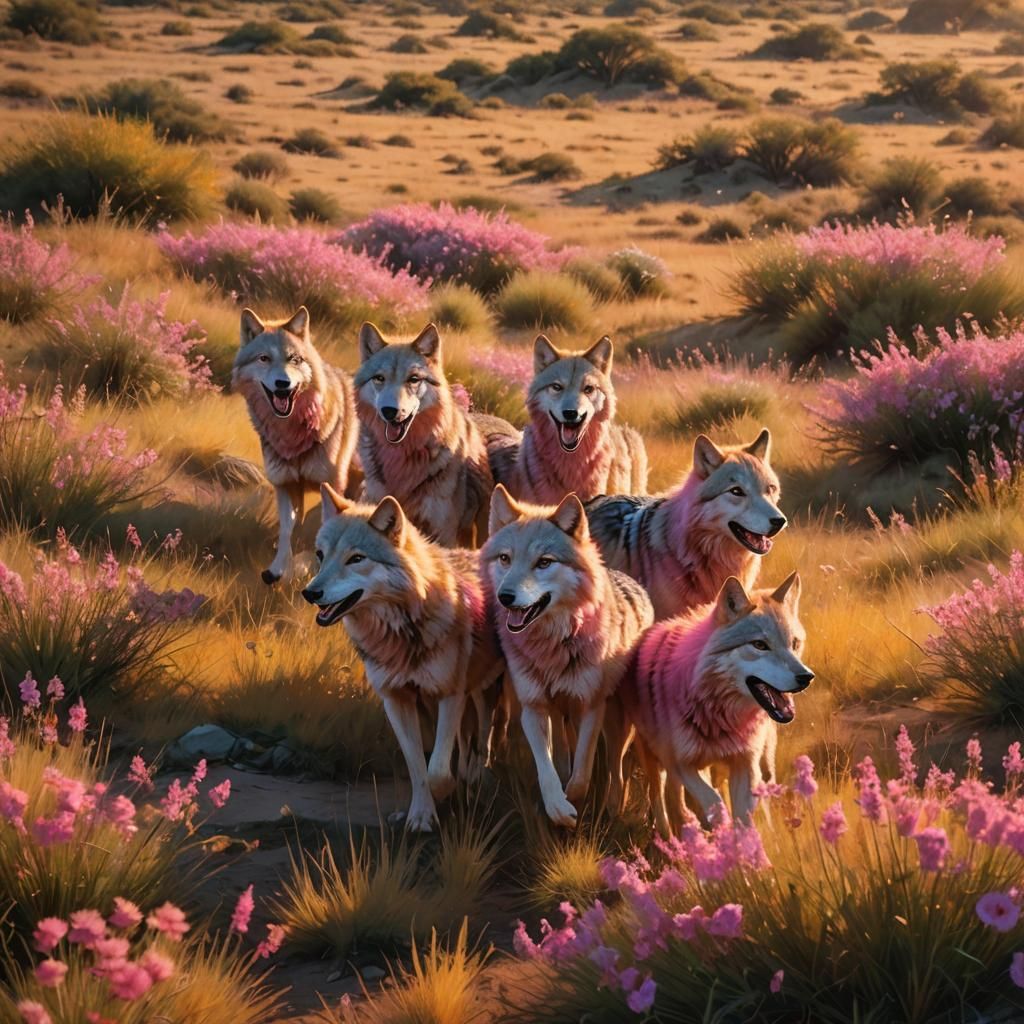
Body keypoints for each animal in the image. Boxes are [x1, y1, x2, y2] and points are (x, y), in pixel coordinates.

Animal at [232, 306, 359, 585]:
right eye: (264, 358)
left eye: (294, 359)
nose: (283, 384)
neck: (293, 435)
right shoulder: (285, 483)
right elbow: (288, 528)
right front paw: (277, 570)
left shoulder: (332, 485)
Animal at [301, 486, 503, 832]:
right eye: (320, 555)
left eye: (356, 558)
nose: (310, 593)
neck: (401, 634)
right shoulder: (396, 701)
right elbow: (417, 766)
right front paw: (420, 815)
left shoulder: (450, 694)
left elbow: (437, 771)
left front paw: (446, 795)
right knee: (466, 743)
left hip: (481, 692)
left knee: (483, 741)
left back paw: (476, 780)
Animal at [483, 485, 653, 828]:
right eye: (505, 558)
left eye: (544, 562)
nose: (505, 597)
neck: (553, 644)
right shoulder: (533, 708)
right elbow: (547, 770)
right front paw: (558, 810)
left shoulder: (591, 707)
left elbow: (582, 773)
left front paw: (575, 803)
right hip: (559, 712)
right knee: (563, 751)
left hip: (615, 720)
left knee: (616, 766)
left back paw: (614, 805)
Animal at [614, 572, 813, 832]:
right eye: (760, 645)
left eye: (795, 643)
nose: (806, 677)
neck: (721, 713)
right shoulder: (682, 764)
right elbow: (714, 802)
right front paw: (719, 831)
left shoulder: (745, 763)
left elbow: (742, 816)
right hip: (654, 757)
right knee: (661, 797)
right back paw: (669, 833)